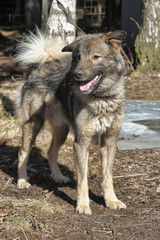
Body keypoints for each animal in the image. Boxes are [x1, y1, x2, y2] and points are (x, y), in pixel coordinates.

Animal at [15, 29, 127, 215]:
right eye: (79, 57)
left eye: (96, 56)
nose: (77, 74)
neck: (101, 98)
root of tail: (38, 67)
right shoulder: (81, 143)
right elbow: (83, 180)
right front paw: (83, 205)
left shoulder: (109, 142)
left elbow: (107, 177)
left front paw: (111, 200)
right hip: (33, 126)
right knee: (23, 153)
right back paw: (22, 181)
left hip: (62, 131)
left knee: (51, 152)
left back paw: (58, 176)